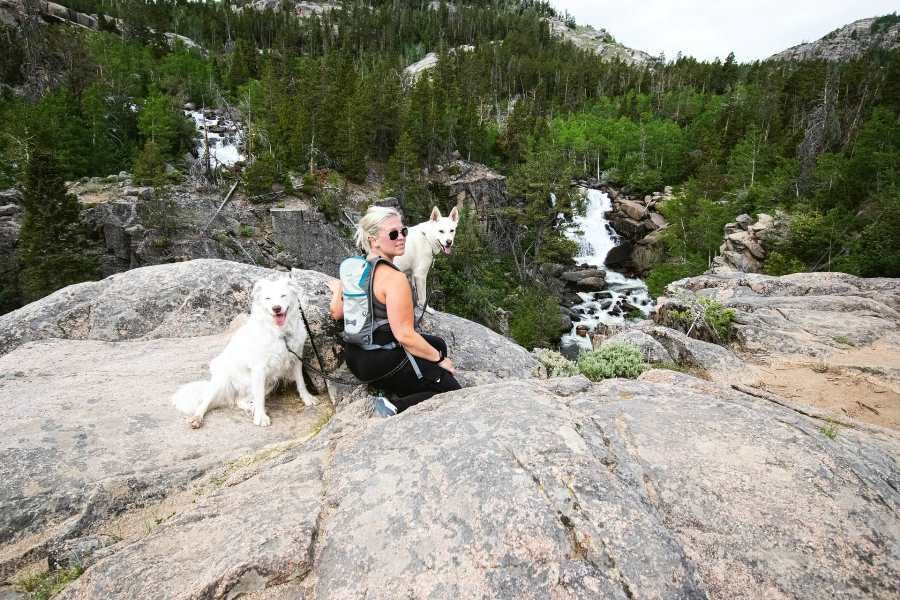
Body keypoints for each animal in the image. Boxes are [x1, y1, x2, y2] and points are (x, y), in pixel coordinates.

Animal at [172, 276, 316, 426]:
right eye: (268, 298)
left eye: (283, 295)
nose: (276, 308)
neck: (281, 333)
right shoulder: (259, 368)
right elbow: (260, 397)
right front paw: (261, 417)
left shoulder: (296, 358)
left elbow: (300, 382)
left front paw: (307, 398)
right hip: (222, 382)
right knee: (206, 401)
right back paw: (197, 418)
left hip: (268, 382)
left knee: (239, 400)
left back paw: (250, 407)